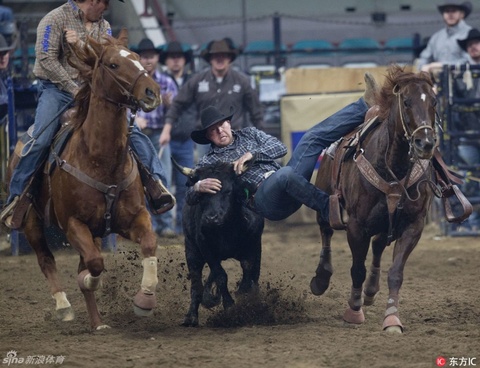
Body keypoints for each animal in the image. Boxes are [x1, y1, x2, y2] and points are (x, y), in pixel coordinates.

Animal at [6, 29, 162, 330]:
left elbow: (148, 244)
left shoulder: (134, 217)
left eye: (138, 57)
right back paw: (64, 306)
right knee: (46, 259)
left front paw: (145, 300)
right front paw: (87, 284)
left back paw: (97, 321)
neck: (100, 159)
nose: (152, 92)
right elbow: (94, 264)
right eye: (113, 64)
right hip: (31, 221)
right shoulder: (74, 224)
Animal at [312, 66, 438, 334]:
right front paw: (353, 310)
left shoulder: (414, 226)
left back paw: (371, 290)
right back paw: (321, 278)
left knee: (379, 245)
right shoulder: (356, 226)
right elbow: (356, 269)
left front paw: (392, 319)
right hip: (325, 202)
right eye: (406, 101)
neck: (394, 168)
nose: (425, 143)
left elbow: (396, 273)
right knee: (326, 231)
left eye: (433, 101)